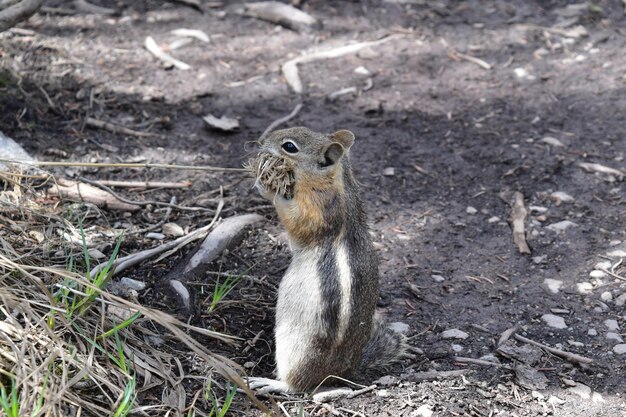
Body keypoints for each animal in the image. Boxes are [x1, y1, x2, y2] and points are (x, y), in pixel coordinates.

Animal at [246, 125, 408, 392]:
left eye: (289, 146)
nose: (261, 141)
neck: (337, 181)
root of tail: (339, 375)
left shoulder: (316, 209)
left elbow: (294, 219)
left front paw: (265, 186)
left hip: (296, 349)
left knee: (298, 385)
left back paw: (273, 383)